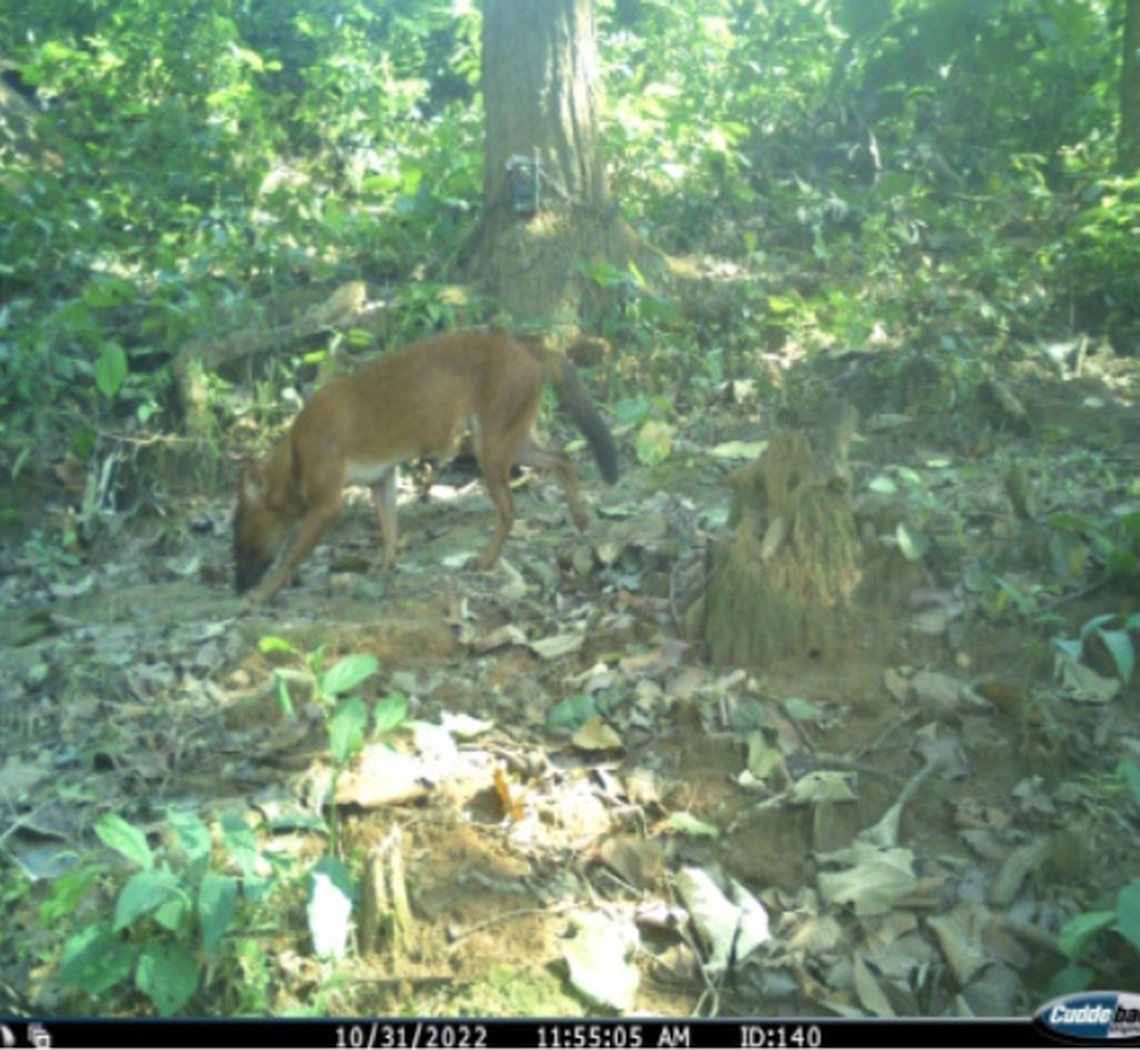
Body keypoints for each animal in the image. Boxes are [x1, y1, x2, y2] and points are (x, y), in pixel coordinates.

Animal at [234, 331, 619, 603]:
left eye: (239, 532)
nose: (236, 585)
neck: (295, 456)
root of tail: (525, 345)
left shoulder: (327, 506)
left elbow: (289, 558)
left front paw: (262, 593)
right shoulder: (382, 479)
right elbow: (389, 529)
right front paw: (383, 569)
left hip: (490, 448)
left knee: (509, 509)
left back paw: (485, 560)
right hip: (514, 443)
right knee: (563, 458)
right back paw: (581, 517)